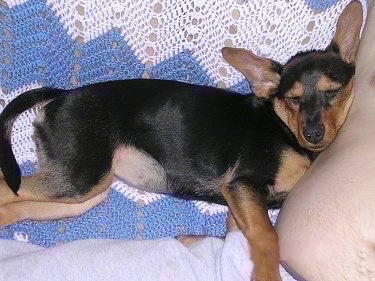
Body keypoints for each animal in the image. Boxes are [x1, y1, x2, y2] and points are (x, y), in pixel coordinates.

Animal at [0, 1, 364, 278]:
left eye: (333, 92)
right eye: (294, 99)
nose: (313, 133)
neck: (285, 128)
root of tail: (61, 94)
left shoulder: (239, 203)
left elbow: (234, 237)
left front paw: (192, 241)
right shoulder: (243, 186)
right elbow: (267, 237)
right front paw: (266, 273)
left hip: (84, 191)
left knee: (20, 204)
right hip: (79, 180)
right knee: (8, 189)